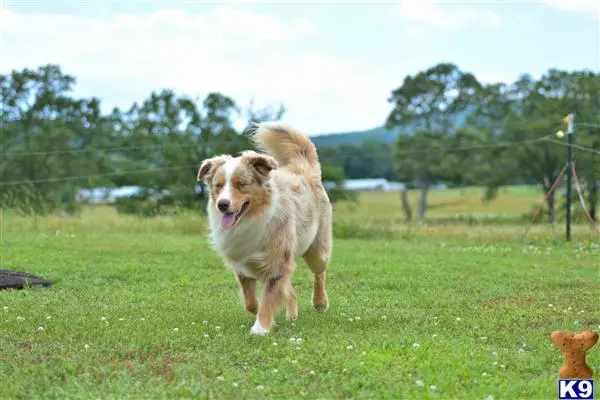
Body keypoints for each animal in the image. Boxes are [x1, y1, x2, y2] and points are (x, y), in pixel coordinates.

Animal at [198, 121, 332, 334]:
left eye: (241, 184)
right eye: (218, 185)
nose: (222, 205)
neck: (251, 218)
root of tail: (302, 169)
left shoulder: (277, 261)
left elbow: (269, 298)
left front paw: (260, 329)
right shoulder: (241, 262)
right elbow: (251, 302)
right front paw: (264, 315)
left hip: (318, 251)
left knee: (319, 273)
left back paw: (320, 303)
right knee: (291, 290)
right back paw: (291, 316)